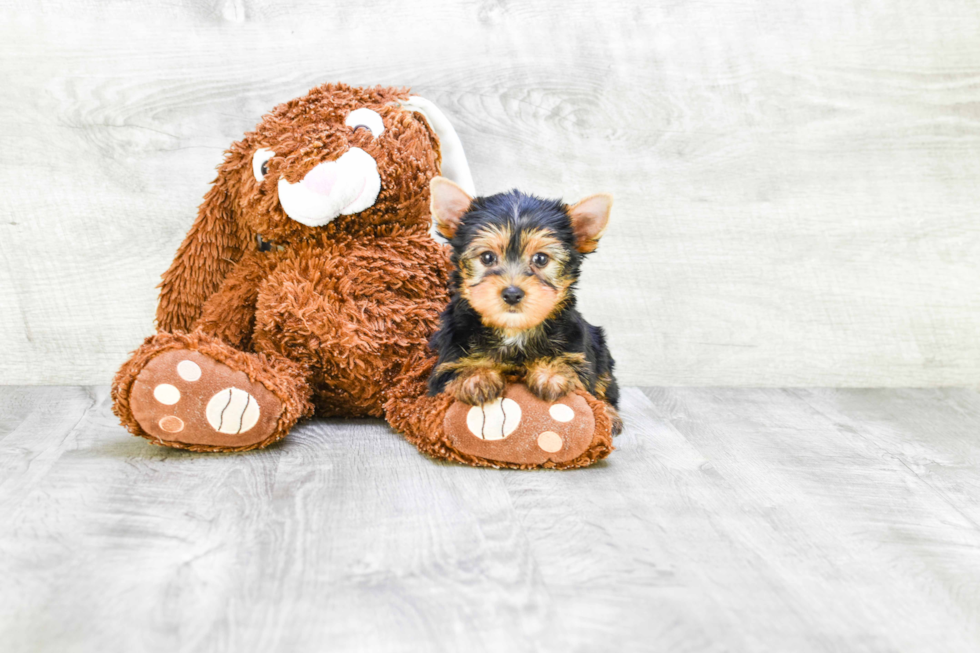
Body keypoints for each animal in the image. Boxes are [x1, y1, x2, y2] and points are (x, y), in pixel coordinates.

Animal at [426, 176, 620, 436]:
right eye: (487, 257)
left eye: (541, 259)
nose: (512, 293)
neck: (513, 331)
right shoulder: (448, 358)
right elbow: (453, 372)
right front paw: (477, 376)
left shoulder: (580, 353)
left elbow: (577, 371)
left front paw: (551, 374)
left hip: (601, 349)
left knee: (606, 386)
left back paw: (610, 414)